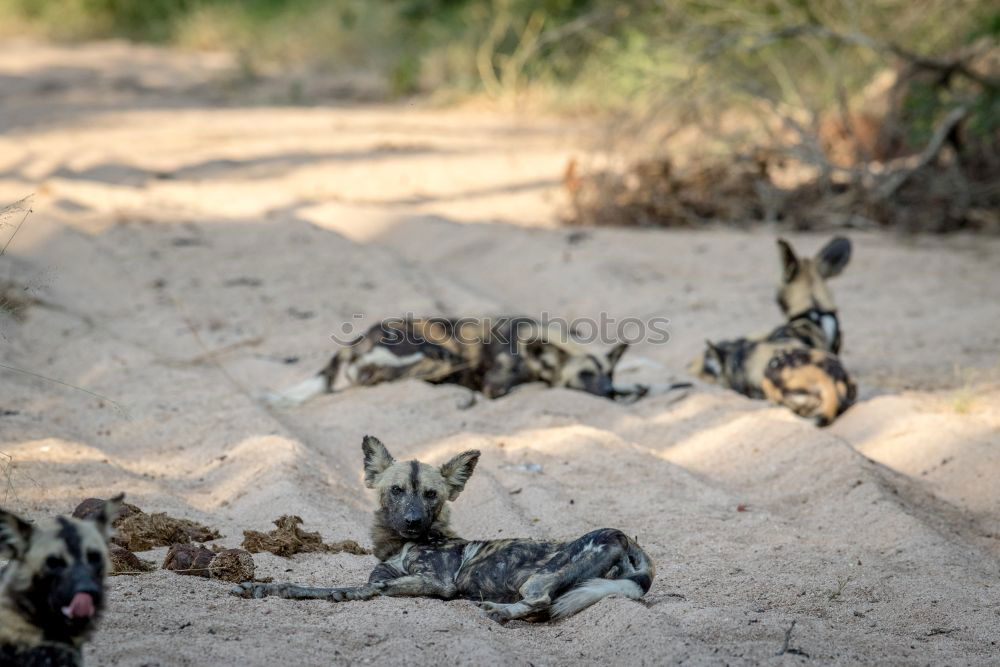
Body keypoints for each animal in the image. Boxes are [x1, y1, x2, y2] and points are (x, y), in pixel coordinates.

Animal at [233, 436, 656, 624]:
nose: (413, 521)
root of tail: (627, 540)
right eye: (397, 490)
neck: (402, 545)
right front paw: (260, 588)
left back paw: (497, 610)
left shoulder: (436, 583)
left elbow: (354, 589)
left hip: (538, 577)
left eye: (431, 494)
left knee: (540, 601)